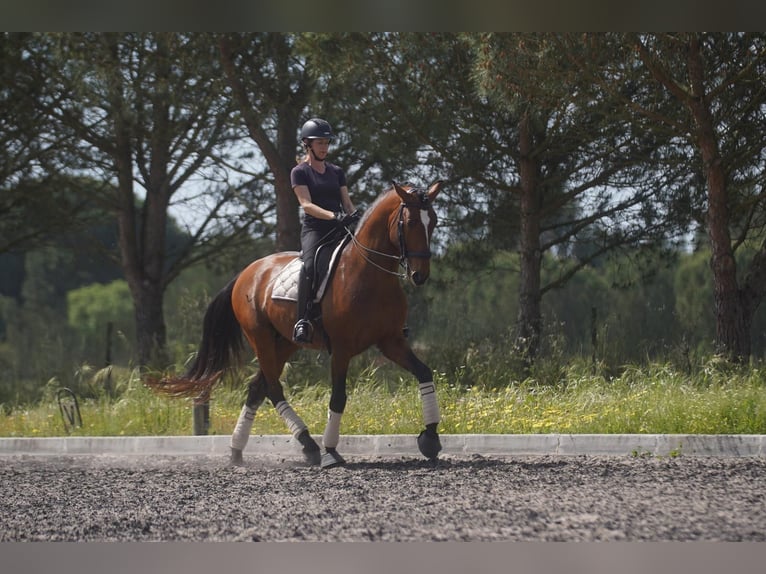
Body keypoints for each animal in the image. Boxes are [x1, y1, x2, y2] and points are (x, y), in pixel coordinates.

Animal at [148, 182, 444, 470]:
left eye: (433, 221)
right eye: (411, 222)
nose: (420, 275)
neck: (369, 275)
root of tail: (247, 272)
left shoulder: (391, 341)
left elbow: (424, 372)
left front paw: (430, 438)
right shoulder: (341, 349)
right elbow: (338, 397)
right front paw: (331, 452)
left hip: (285, 343)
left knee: (257, 388)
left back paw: (237, 451)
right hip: (260, 338)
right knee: (272, 389)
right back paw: (309, 445)